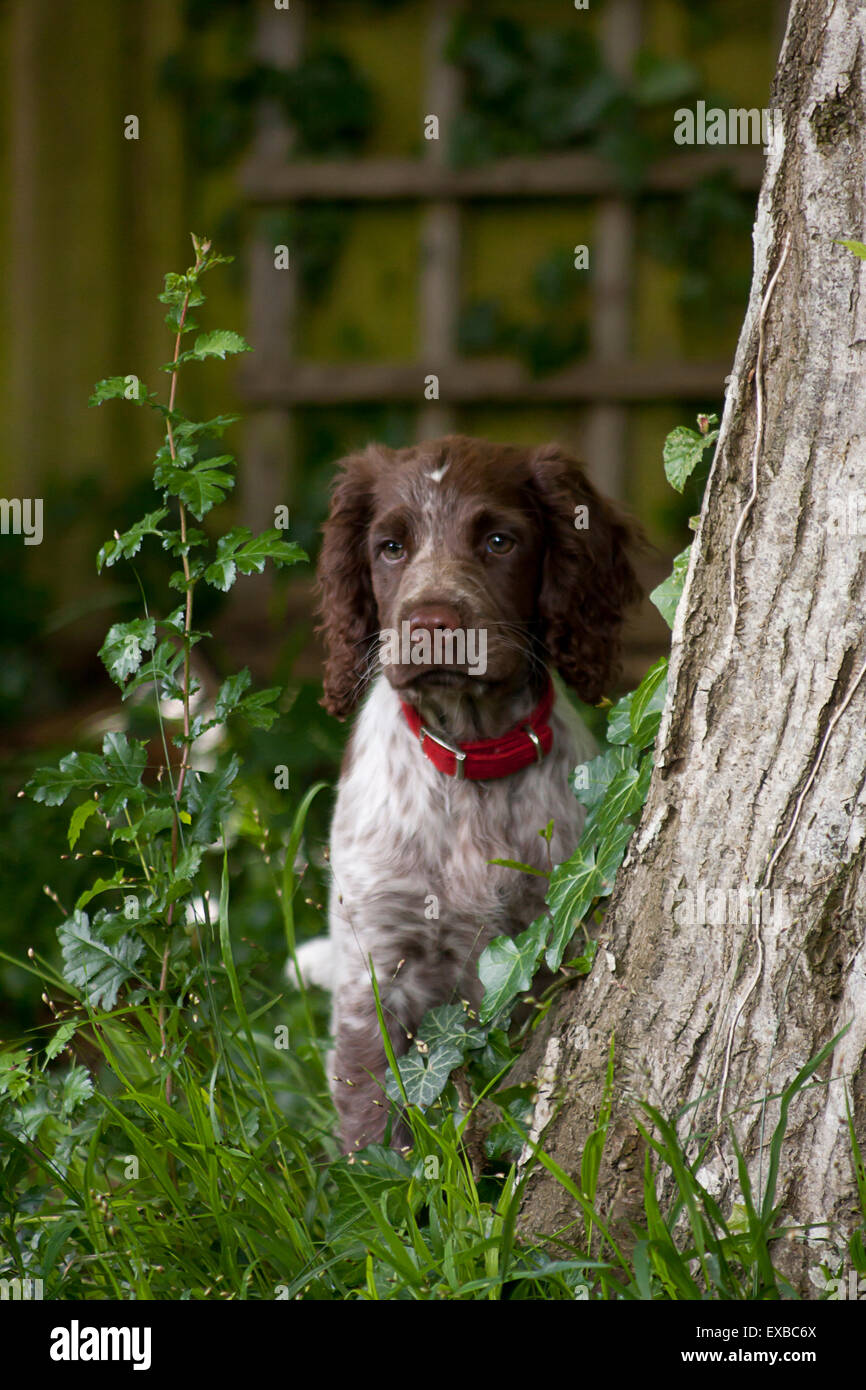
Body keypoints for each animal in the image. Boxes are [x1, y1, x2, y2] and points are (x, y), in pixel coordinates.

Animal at [303, 433, 636, 1150]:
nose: (433, 624)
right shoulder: (377, 966)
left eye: (499, 542)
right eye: (390, 547)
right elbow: (370, 1113)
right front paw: (370, 1181)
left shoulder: (550, 944)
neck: (471, 757)